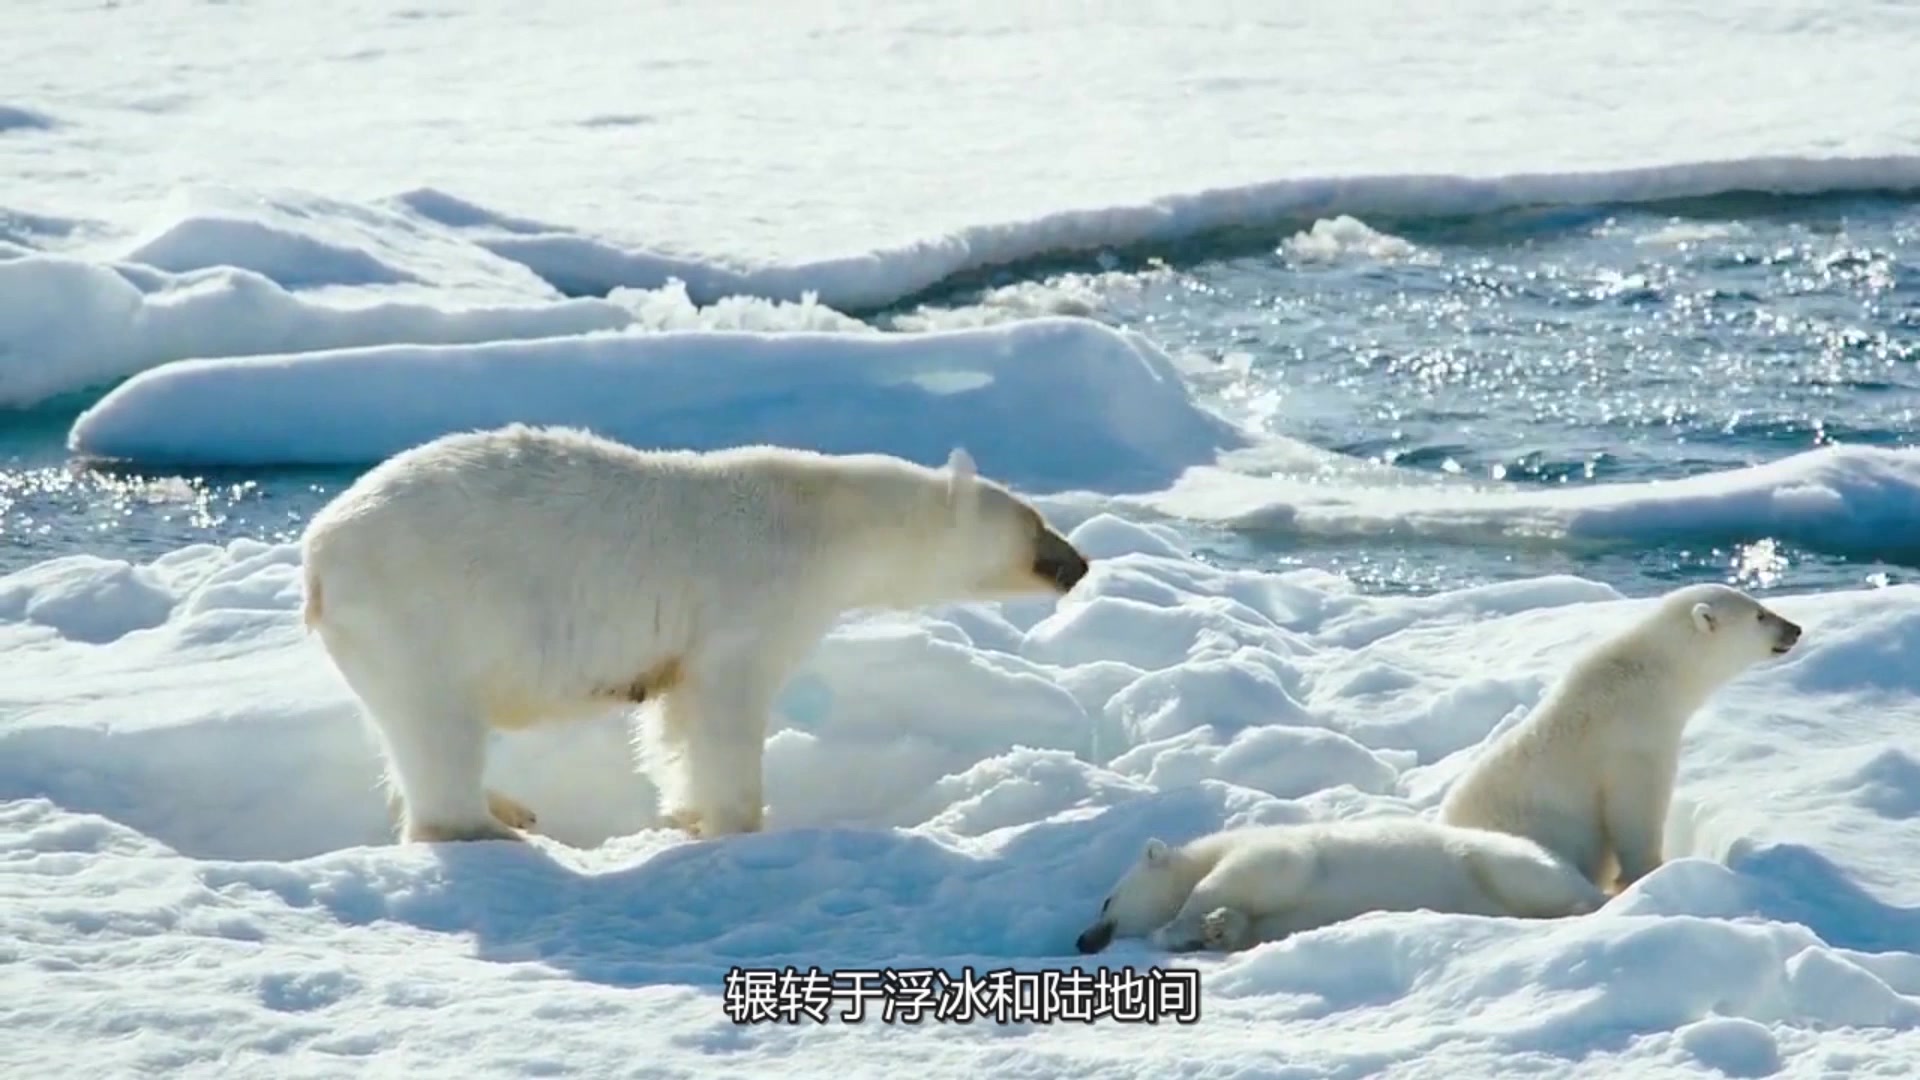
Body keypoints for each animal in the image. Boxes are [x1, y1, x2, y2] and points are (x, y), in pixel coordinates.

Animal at [291, 420, 1090, 841]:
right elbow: (723, 707)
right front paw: (738, 823)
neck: (825, 520)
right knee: (438, 727)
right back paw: (488, 825)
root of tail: (319, 554)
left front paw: (683, 813)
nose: (1079, 565)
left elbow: (672, 719)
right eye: (1035, 523)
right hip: (421, 611)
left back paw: (506, 807)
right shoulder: (748, 598)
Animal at [1075, 814, 1597, 949]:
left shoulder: (1274, 850)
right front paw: (1219, 928)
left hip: (1492, 860)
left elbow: (1266, 868)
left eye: (1105, 901)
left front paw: (1177, 926)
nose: (1081, 940)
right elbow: (1253, 925)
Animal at [1443, 580, 1797, 891]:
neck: (1651, 676)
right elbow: (1634, 809)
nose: (1795, 629)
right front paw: (1647, 872)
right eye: (1760, 614)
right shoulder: (1631, 741)